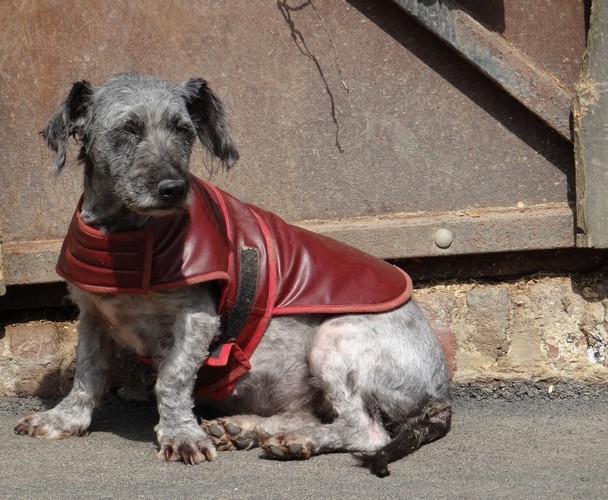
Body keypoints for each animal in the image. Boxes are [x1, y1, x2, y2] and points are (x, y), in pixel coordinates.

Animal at [15, 71, 452, 476]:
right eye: (128, 129)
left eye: (183, 130)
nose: (174, 188)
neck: (130, 234)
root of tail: (440, 393)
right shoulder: (92, 316)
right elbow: (88, 372)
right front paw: (64, 419)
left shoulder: (196, 319)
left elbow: (171, 377)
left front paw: (181, 435)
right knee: (311, 413)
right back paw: (247, 429)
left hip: (336, 337)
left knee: (365, 430)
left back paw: (295, 440)